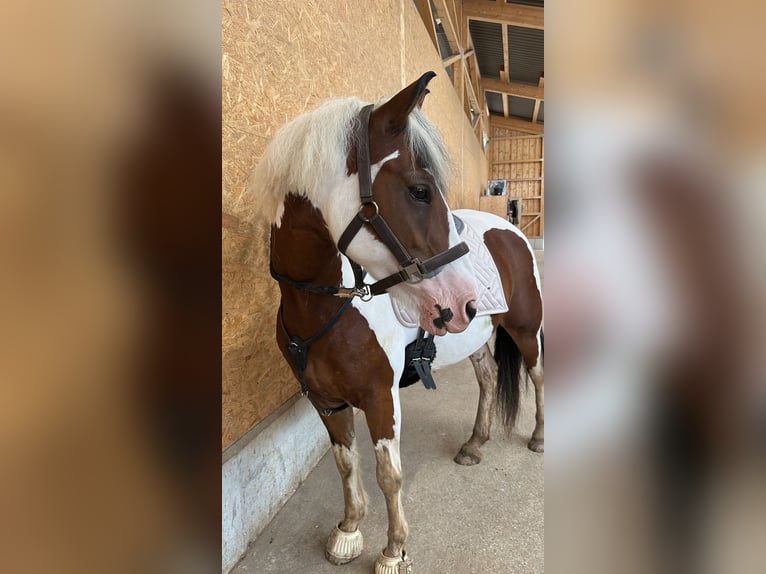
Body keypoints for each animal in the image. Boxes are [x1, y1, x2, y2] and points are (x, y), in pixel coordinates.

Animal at [249, 71, 543, 574]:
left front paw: (394, 551)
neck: (325, 309)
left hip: (526, 331)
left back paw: (539, 439)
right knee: (487, 379)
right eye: (419, 191)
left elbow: (389, 474)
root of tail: (512, 230)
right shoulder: (327, 403)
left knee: (539, 377)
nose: (463, 301)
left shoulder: (380, 398)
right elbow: (346, 463)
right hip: (476, 339)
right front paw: (349, 531)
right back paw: (474, 445)